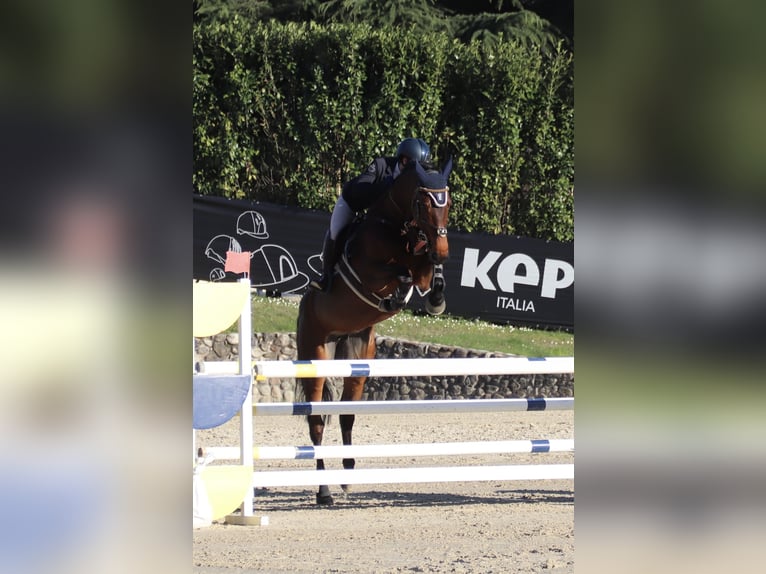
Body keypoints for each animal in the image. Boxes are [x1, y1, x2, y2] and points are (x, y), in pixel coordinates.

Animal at [296, 158, 453, 504]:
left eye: (448, 202)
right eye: (423, 203)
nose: (443, 250)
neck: (396, 225)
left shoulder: (423, 264)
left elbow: (430, 275)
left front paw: (436, 301)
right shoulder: (370, 271)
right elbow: (402, 274)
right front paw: (395, 297)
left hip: (357, 354)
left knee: (346, 414)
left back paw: (348, 475)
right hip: (316, 352)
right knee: (316, 421)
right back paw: (324, 492)